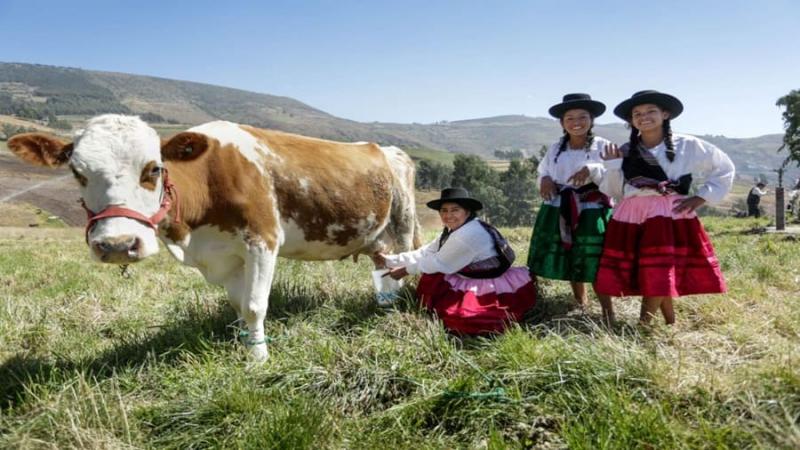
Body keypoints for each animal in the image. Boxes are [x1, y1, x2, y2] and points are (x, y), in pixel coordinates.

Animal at [9, 114, 422, 360]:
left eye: (154, 169)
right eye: (77, 173)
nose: (117, 245)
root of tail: (384, 148)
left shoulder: (262, 240)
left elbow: (255, 305)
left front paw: (258, 359)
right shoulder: (223, 255)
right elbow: (238, 306)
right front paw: (243, 345)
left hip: (403, 222)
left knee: (405, 264)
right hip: (376, 234)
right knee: (383, 265)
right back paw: (384, 303)